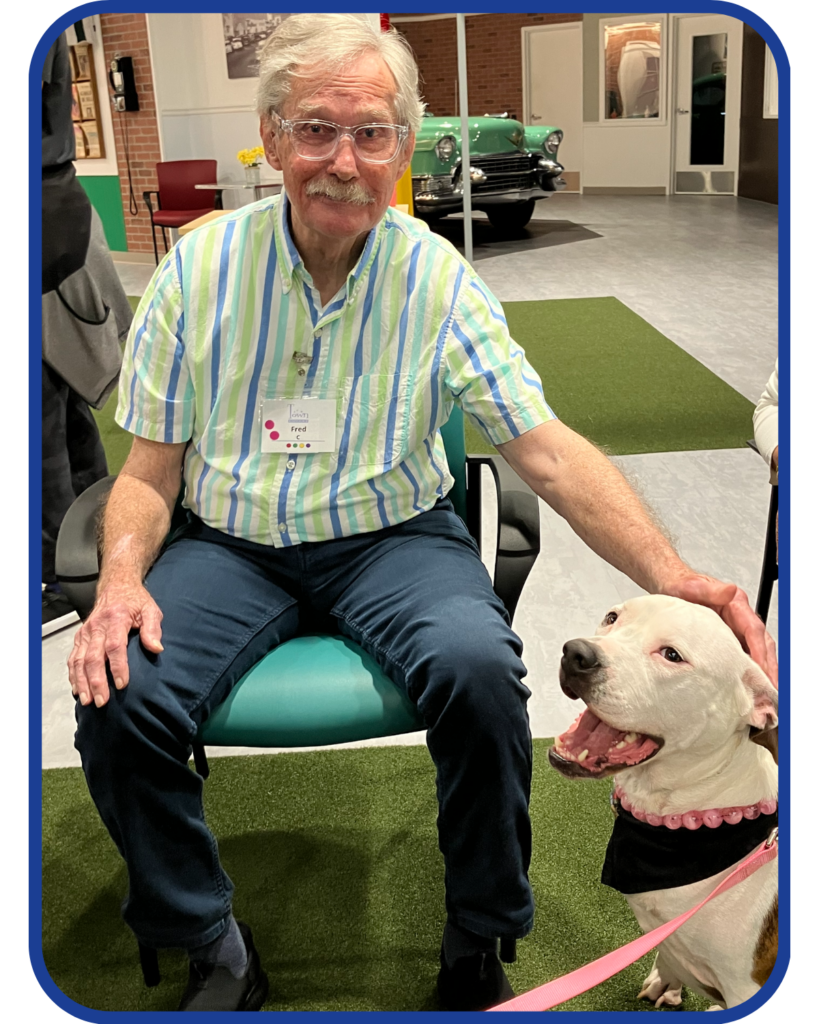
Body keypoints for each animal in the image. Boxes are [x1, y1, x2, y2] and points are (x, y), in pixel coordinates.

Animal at [548, 598, 773, 1011]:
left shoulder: (745, 986)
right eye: (612, 618)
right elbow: (670, 955)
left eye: (671, 655)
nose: (576, 654)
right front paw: (666, 980)